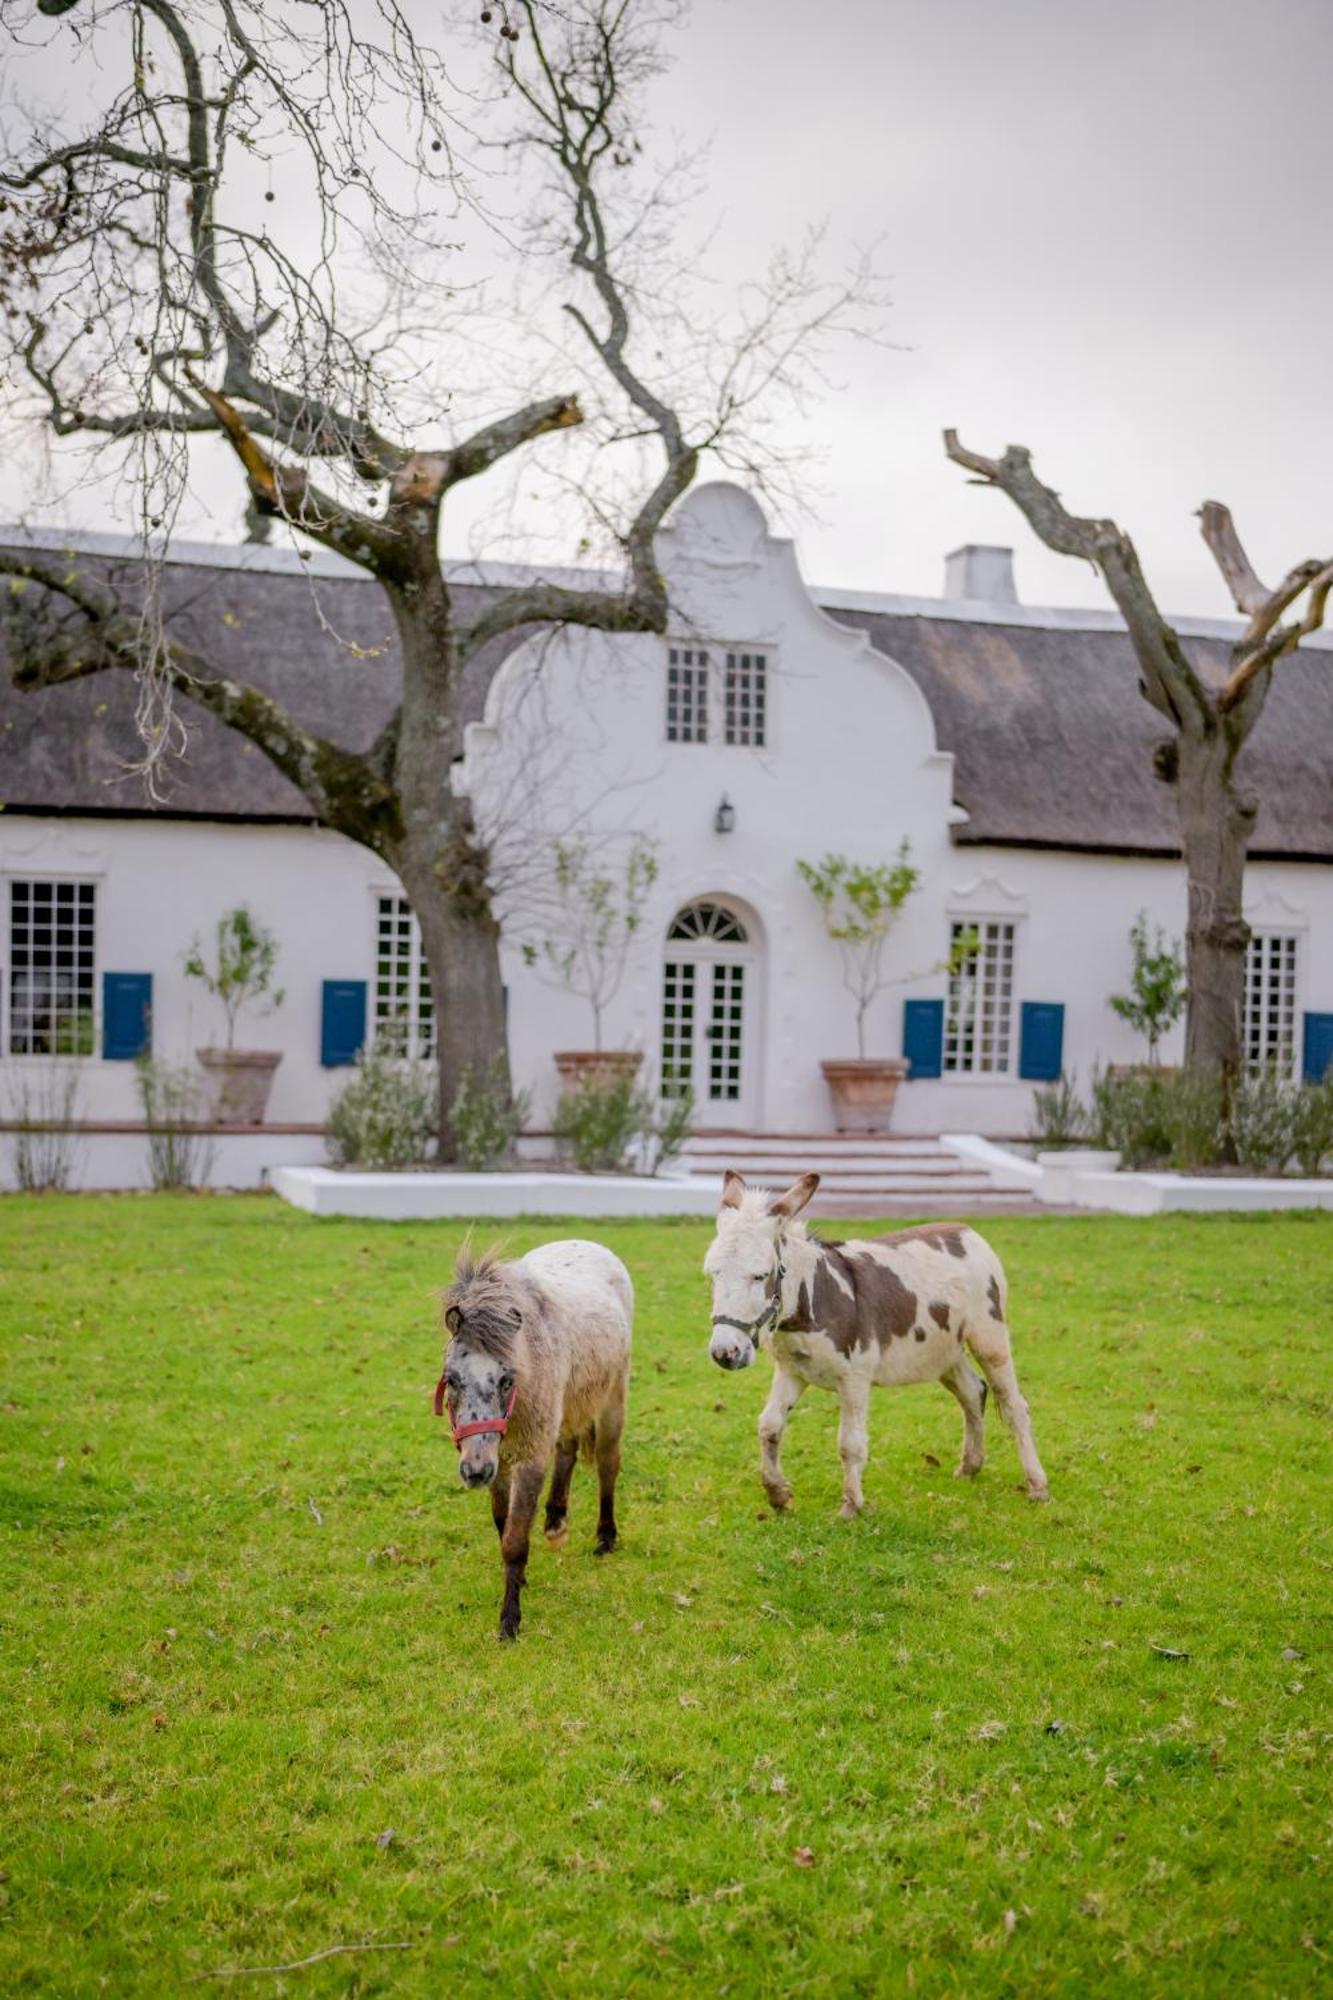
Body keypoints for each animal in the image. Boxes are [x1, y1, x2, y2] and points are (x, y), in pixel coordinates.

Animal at [430, 1232, 628, 1640]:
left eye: (507, 1379)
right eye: (452, 1379)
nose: (473, 1471)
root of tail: (586, 1242)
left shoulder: (529, 1456)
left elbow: (516, 1540)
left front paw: (509, 1622)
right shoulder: (499, 1459)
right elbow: (502, 1525)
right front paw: (519, 1583)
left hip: (612, 1397)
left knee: (607, 1464)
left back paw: (605, 1537)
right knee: (567, 1448)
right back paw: (555, 1521)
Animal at [700, 1168, 1040, 1512]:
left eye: (760, 1275)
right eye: (713, 1274)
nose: (725, 1353)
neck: (812, 1299)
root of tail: (965, 1230)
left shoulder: (855, 1379)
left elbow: (849, 1444)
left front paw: (852, 1506)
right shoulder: (791, 1372)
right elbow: (769, 1426)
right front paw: (777, 1494)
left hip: (989, 1337)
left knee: (1014, 1406)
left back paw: (1038, 1486)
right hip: (943, 1350)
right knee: (973, 1392)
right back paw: (970, 1467)